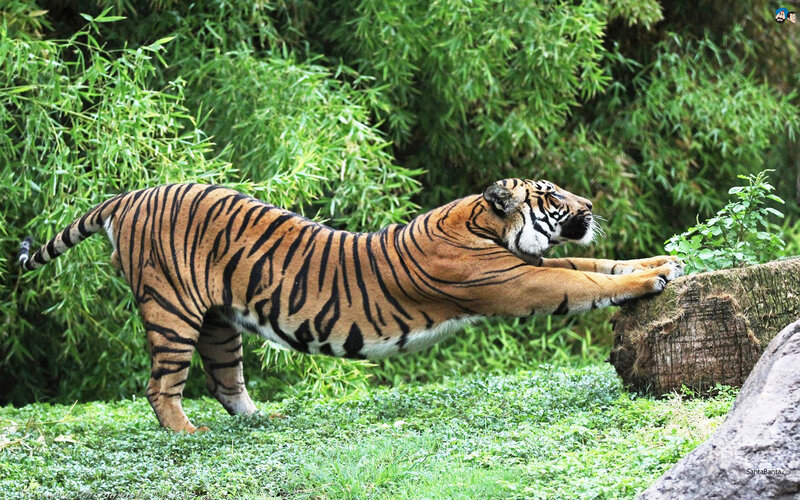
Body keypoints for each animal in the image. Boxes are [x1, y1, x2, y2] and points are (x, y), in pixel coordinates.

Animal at [18, 178, 682, 432]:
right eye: (552, 197)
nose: (590, 204)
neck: (484, 226)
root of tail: (128, 195)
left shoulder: (530, 266)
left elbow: (598, 266)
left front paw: (662, 261)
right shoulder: (518, 281)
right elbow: (585, 283)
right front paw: (653, 277)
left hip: (218, 322)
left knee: (226, 380)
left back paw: (261, 420)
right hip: (172, 311)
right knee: (162, 385)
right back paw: (186, 432)